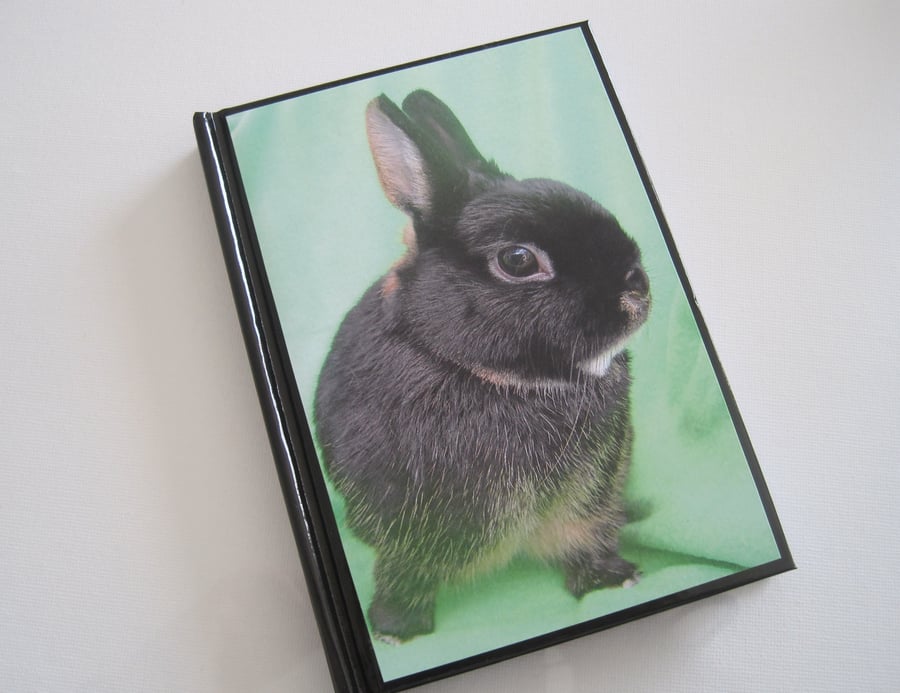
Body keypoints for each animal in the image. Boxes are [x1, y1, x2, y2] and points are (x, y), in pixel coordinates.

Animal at [314, 89, 651, 643]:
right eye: (517, 260)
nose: (636, 288)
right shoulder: (403, 525)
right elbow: (404, 574)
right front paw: (395, 629)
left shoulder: (591, 498)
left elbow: (588, 536)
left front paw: (610, 579)